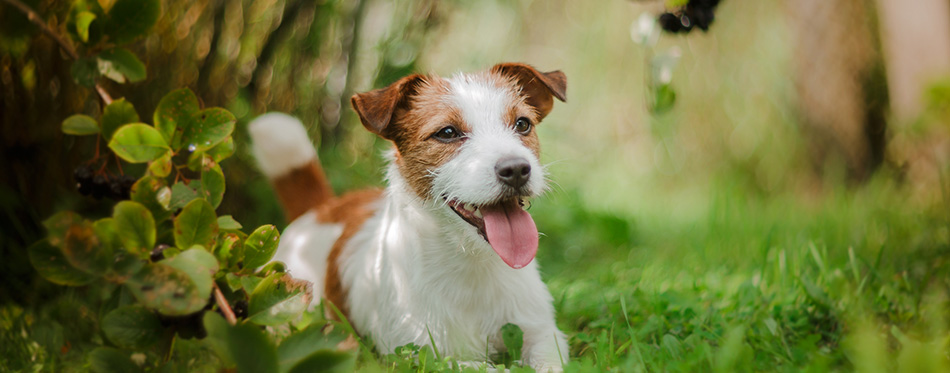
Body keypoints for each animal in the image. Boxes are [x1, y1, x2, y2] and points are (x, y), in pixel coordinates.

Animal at [249, 62, 568, 368]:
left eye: (522, 124)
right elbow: (484, 367)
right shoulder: (416, 354)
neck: (472, 265)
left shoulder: (544, 333)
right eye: (447, 132)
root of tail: (324, 207)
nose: (516, 169)